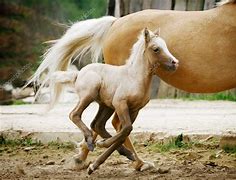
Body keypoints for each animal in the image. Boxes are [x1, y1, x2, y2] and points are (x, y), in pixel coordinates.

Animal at [52, 27, 179, 173]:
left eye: (166, 46)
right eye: (156, 49)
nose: (175, 63)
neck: (135, 78)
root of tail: (78, 74)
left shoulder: (135, 110)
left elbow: (125, 132)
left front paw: (95, 163)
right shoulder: (120, 103)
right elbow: (126, 128)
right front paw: (102, 146)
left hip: (106, 106)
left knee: (97, 124)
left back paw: (121, 152)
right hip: (89, 96)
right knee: (74, 114)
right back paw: (90, 140)